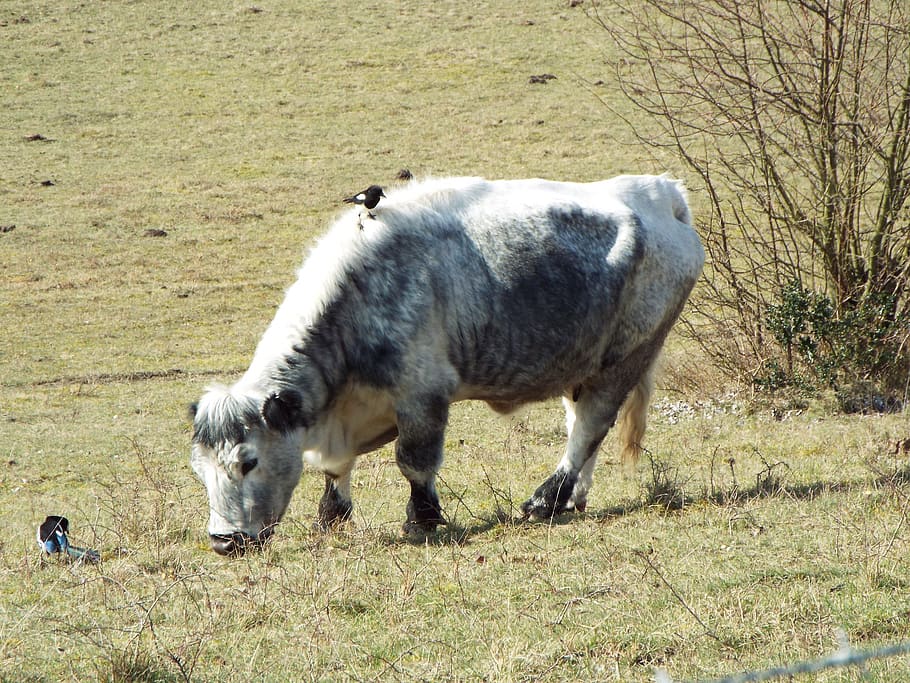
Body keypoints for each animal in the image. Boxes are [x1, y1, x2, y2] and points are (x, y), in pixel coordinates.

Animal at [191, 175, 704, 556]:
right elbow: (335, 468)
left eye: (248, 461)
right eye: (200, 469)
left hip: (627, 358)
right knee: (581, 425)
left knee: (590, 427)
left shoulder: (422, 395)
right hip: (584, 365)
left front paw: (422, 519)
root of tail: (661, 192)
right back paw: (573, 498)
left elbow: (414, 462)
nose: (223, 542)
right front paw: (330, 517)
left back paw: (546, 499)